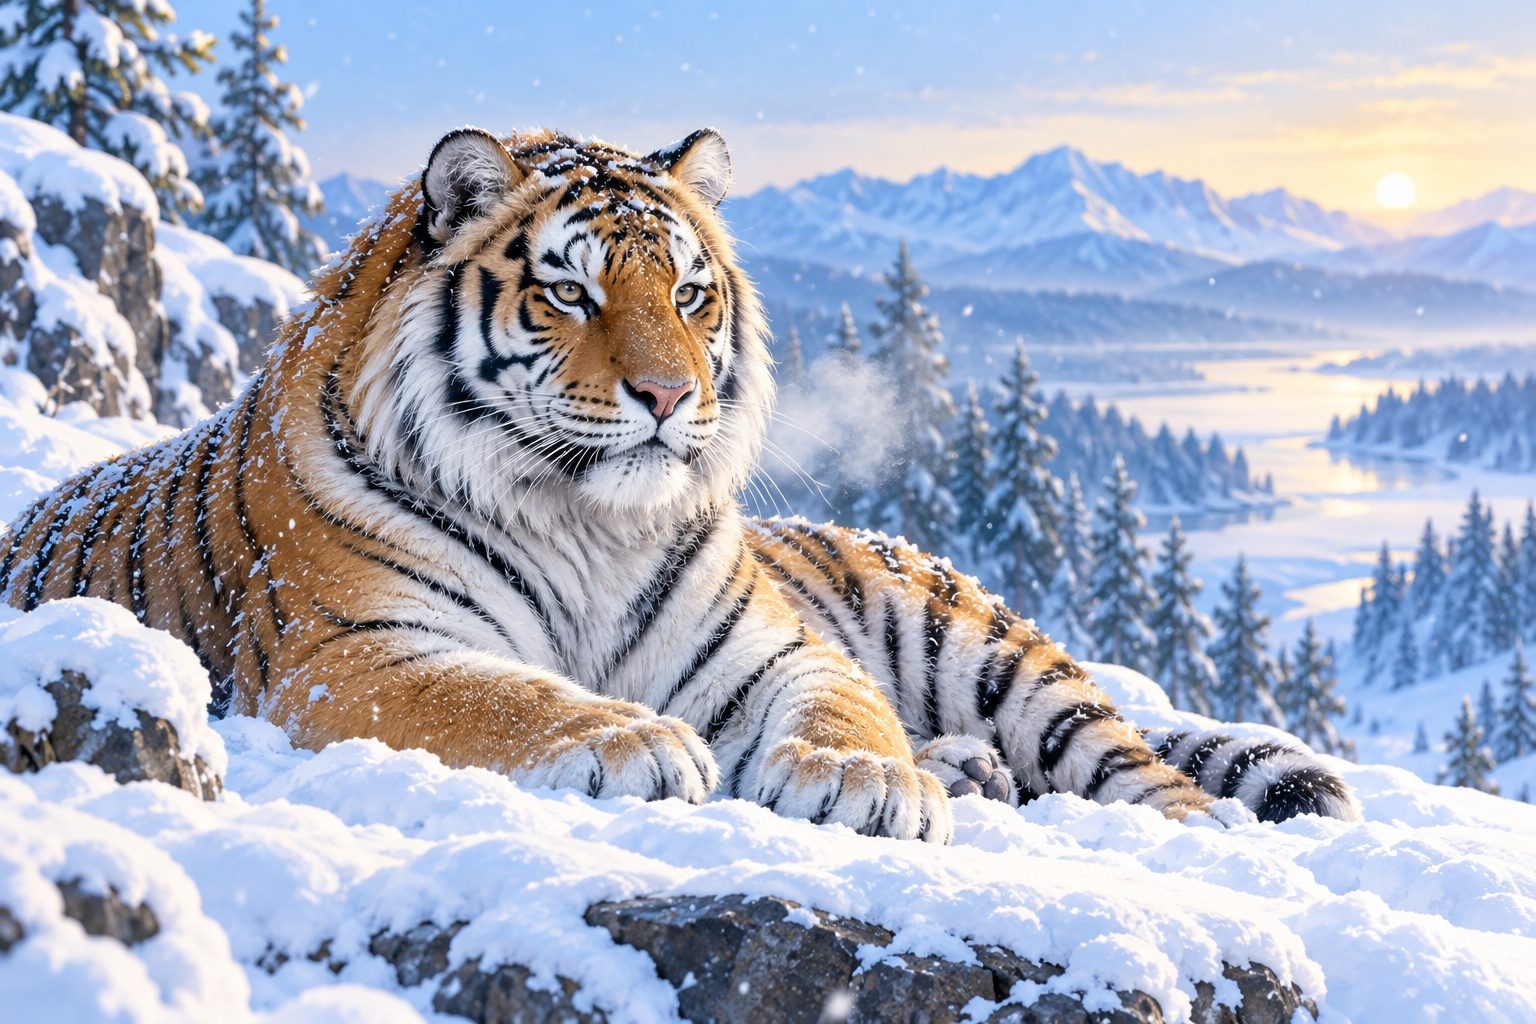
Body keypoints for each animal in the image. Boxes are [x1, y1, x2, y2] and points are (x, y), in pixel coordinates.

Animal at [0, 126, 1360, 839]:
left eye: (692, 292)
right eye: (570, 290)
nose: (668, 395)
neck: (580, 520)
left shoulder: (772, 650)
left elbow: (846, 707)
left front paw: (865, 781)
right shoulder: (358, 650)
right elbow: (504, 694)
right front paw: (631, 740)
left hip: (985, 645)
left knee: (1137, 763)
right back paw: (967, 770)